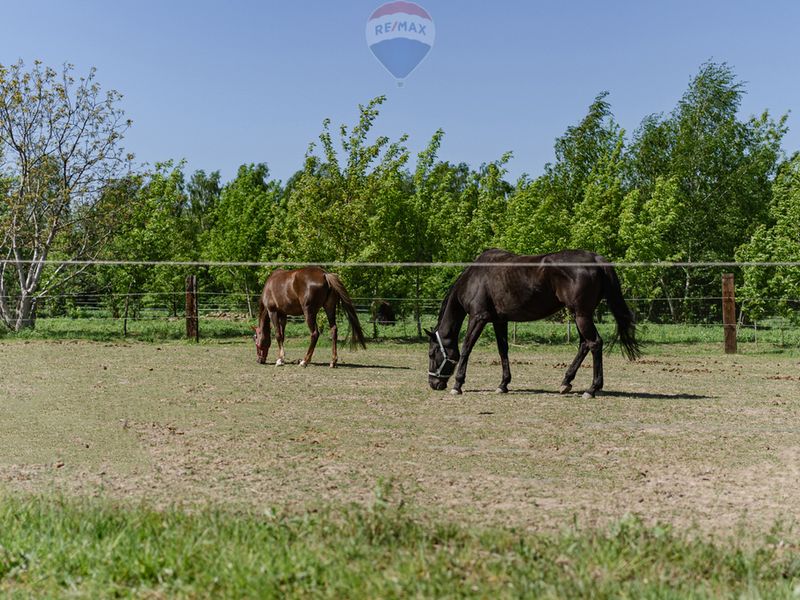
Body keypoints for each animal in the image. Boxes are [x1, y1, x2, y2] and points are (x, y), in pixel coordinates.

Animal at [428, 250, 640, 398]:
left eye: (432, 353)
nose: (433, 384)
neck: (475, 277)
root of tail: (596, 259)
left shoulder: (478, 317)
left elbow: (466, 348)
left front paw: (458, 385)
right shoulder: (499, 320)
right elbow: (503, 350)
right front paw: (503, 385)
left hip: (581, 315)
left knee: (594, 343)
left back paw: (591, 389)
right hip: (580, 315)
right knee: (584, 344)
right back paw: (566, 382)